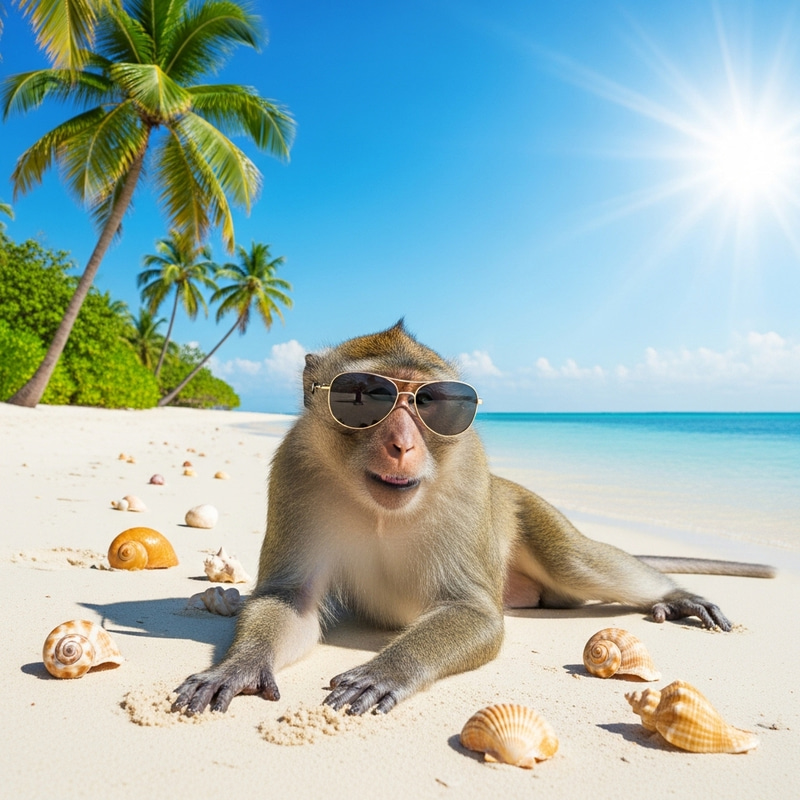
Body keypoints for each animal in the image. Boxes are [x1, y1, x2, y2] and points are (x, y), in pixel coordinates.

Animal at [172, 321, 775, 717]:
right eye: (363, 396)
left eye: (433, 404)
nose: (402, 443)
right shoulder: (293, 475)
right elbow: (290, 600)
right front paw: (239, 666)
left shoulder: (467, 482)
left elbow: (475, 612)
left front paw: (390, 670)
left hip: (524, 508)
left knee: (577, 563)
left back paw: (675, 594)